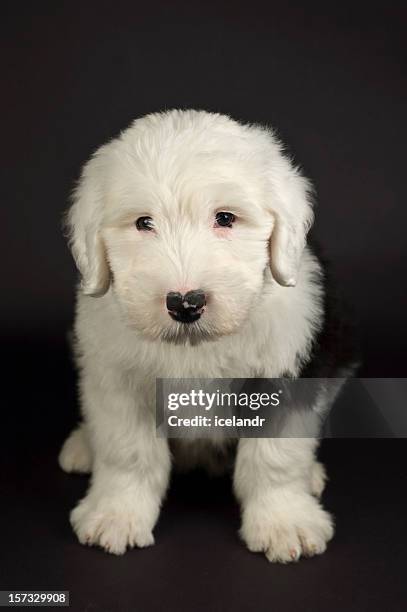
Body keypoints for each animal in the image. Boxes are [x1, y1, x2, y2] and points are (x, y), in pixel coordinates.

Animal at [59, 111, 356, 564]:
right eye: (143, 223)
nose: (186, 303)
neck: (195, 347)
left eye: (226, 218)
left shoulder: (286, 372)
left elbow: (275, 456)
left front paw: (283, 522)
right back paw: (82, 446)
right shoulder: (118, 378)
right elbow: (127, 451)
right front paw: (116, 515)